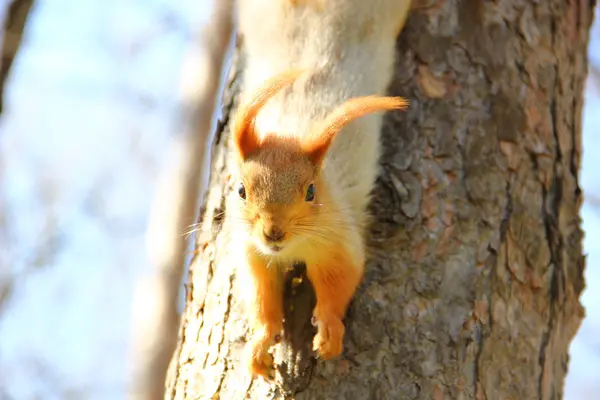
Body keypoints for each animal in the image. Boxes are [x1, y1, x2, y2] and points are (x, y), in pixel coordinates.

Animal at [225, 0, 412, 380]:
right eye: (240, 190)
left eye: (311, 192)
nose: (273, 232)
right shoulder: (252, 252)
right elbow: (261, 296)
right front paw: (260, 343)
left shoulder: (339, 242)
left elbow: (341, 280)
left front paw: (328, 331)